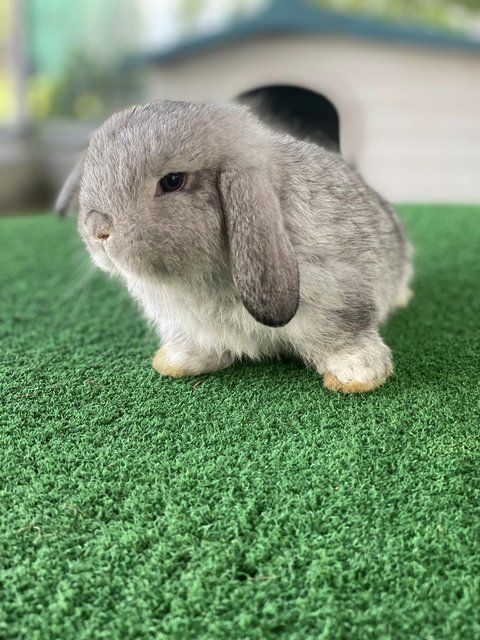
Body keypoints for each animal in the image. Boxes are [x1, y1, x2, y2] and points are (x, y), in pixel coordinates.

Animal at [58, 100, 412, 392]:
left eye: (172, 181)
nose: (97, 230)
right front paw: (174, 363)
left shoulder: (337, 297)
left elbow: (343, 335)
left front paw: (357, 375)